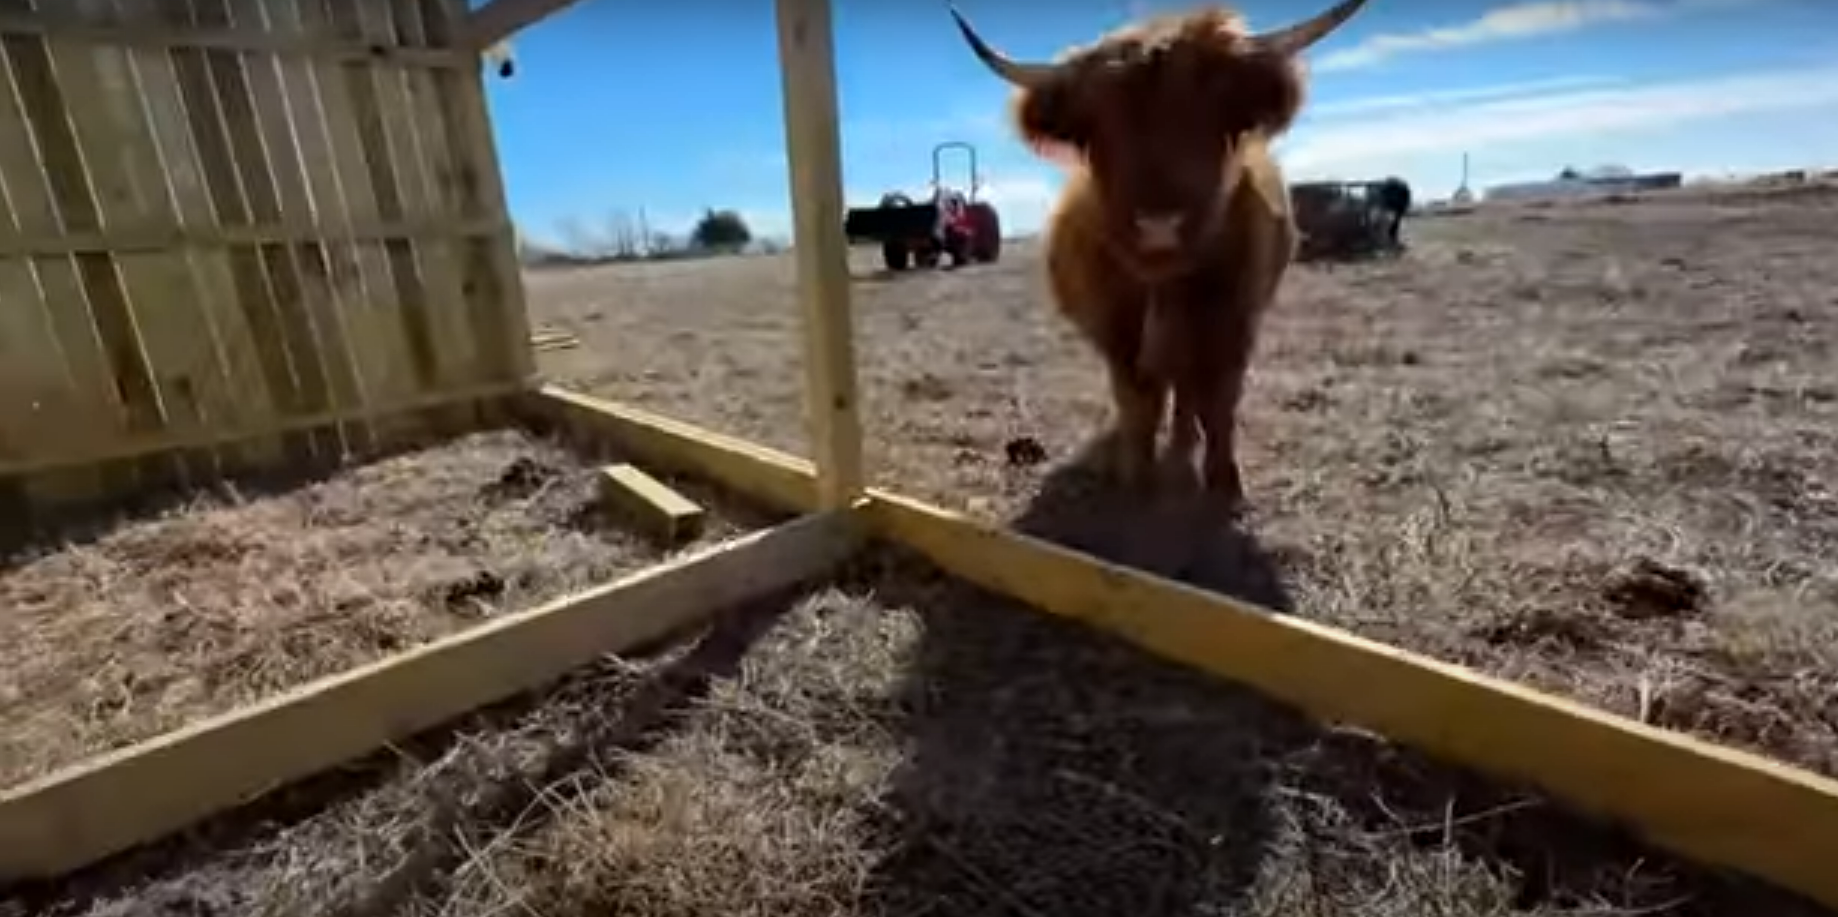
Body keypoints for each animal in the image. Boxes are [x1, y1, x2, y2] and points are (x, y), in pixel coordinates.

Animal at [948, 0, 1367, 514]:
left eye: (1219, 113)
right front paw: (1138, 478)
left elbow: (1219, 402)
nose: (1158, 225)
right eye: (1094, 130)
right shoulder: (1116, 334)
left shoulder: (1234, 322)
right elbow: (1139, 402)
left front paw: (1224, 483)